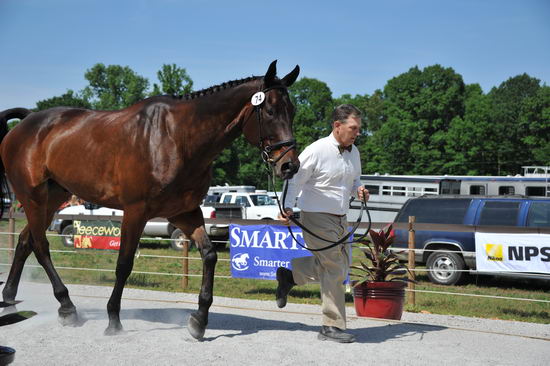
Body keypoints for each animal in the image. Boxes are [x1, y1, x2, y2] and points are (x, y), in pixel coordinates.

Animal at [0, 60, 302, 340]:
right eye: (271, 111)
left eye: (293, 111)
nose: (289, 165)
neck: (176, 138)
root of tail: (27, 122)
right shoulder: (135, 212)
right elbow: (124, 264)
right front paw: (113, 320)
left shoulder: (185, 213)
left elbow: (209, 254)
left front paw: (199, 320)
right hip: (32, 198)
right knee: (40, 246)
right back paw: (66, 306)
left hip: (53, 199)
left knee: (25, 242)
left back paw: (11, 299)